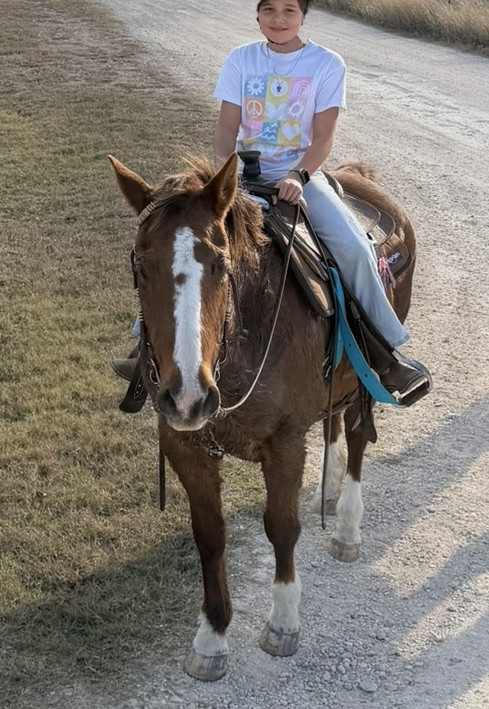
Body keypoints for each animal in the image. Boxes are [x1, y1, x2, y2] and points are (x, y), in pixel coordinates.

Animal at [109, 152, 417, 681]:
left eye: (219, 264)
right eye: (141, 267)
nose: (187, 396)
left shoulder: (285, 443)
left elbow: (282, 527)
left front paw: (283, 623)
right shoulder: (184, 445)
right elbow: (209, 534)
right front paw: (211, 637)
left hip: (366, 379)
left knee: (357, 436)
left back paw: (347, 527)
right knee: (333, 424)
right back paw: (328, 490)